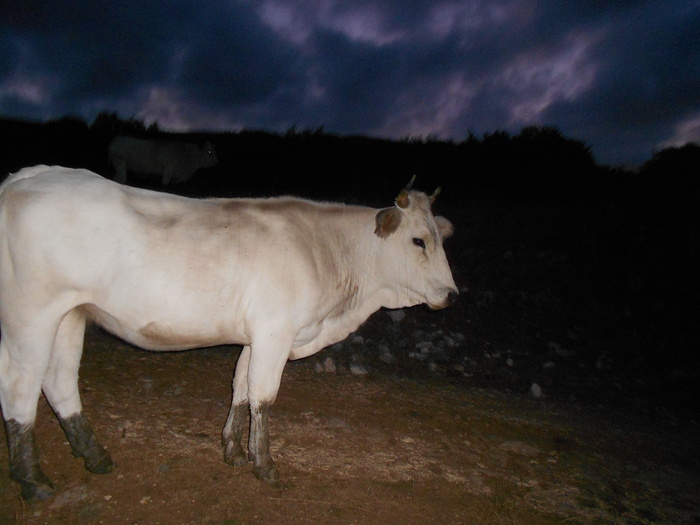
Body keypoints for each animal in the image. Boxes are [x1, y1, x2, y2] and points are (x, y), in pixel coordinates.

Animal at [0, 165, 460, 500]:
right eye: (419, 241)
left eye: (441, 239)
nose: (452, 295)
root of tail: (29, 176)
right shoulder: (275, 331)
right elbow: (263, 395)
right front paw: (265, 464)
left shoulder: (256, 337)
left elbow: (240, 387)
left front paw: (234, 450)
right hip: (31, 314)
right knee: (21, 385)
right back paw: (33, 480)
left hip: (69, 314)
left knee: (59, 381)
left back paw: (94, 456)